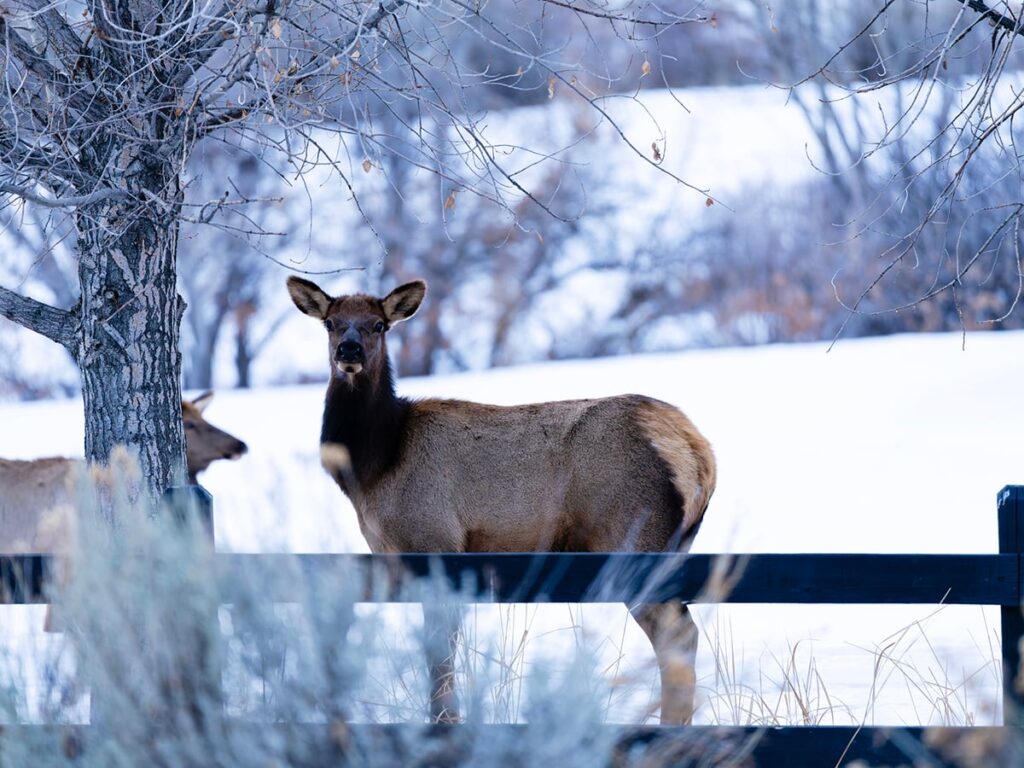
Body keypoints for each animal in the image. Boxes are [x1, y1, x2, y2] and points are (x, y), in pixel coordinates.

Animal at [287, 276, 717, 725]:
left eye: (379, 325)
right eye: (331, 322)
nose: (348, 350)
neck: (376, 464)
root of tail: (700, 454)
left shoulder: (435, 541)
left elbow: (440, 653)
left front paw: (446, 722)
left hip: (633, 540)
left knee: (678, 635)